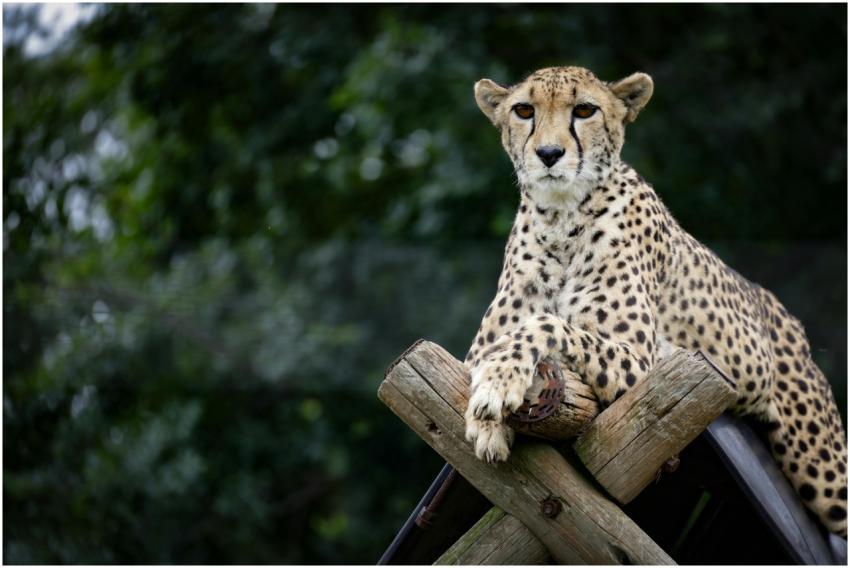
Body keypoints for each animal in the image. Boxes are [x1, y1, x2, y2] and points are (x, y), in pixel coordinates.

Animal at [462, 65, 847, 536]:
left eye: (584, 110)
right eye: (523, 110)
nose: (549, 153)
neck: (560, 219)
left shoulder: (643, 365)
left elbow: (546, 326)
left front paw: (498, 383)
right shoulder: (472, 352)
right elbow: (480, 363)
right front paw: (488, 426)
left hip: (822, 469)